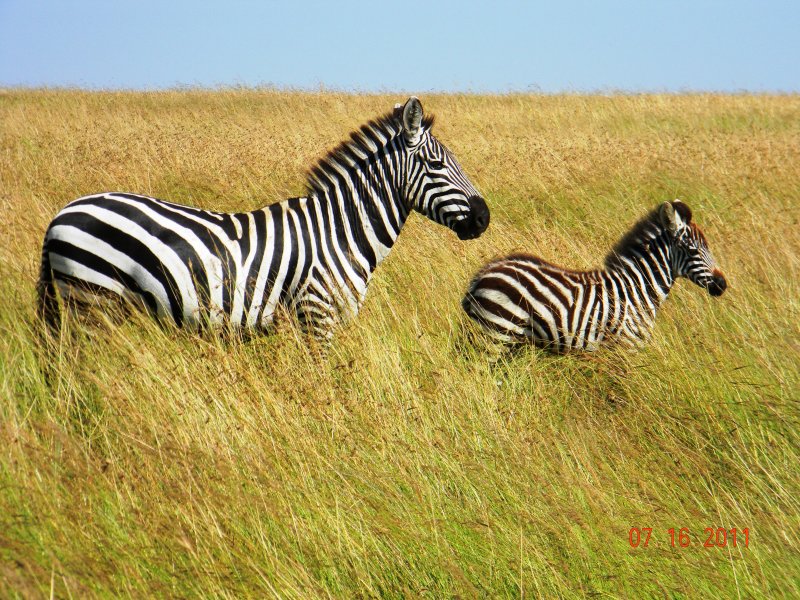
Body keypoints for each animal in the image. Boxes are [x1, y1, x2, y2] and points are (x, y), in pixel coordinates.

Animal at [37, 98, 490, 342]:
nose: (484, 217)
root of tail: (63, 212)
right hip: (92, 300)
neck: (341, 232)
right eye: (436, 164)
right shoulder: (315, 315)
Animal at [460, 202, 728, 352]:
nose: (722, 285)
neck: (638, 290)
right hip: (495, 333)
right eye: (692, 250)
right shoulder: (626, 347)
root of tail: (483, 274)